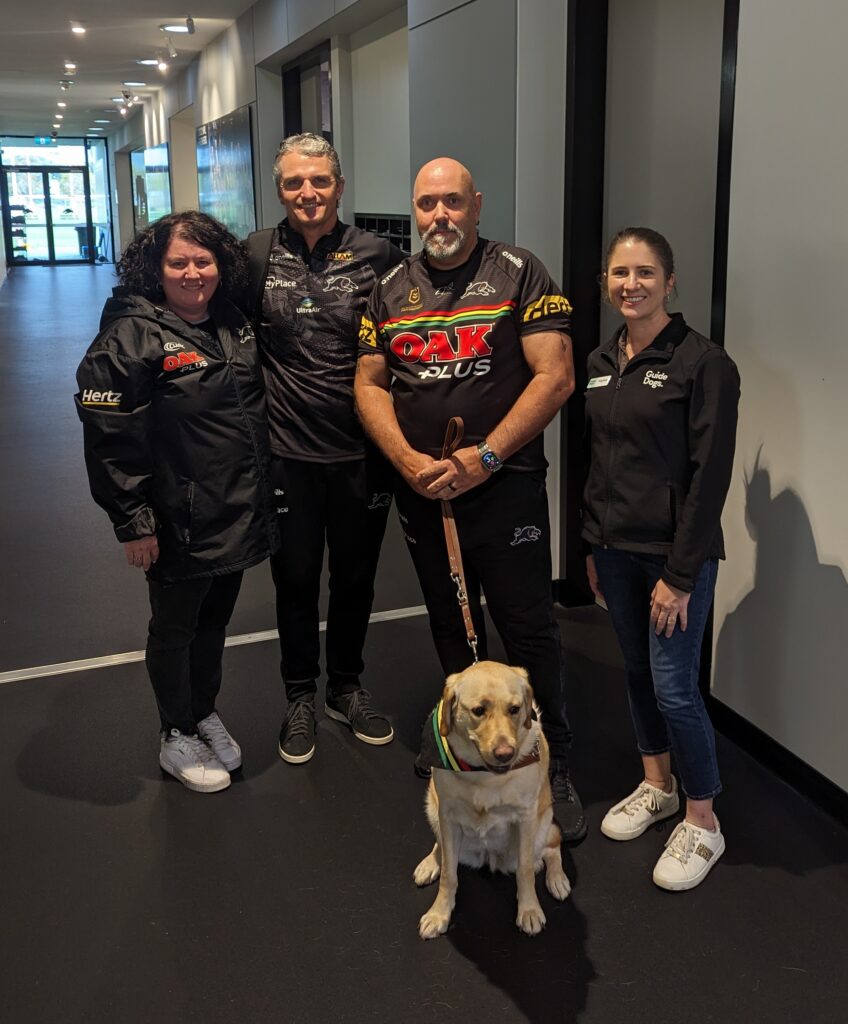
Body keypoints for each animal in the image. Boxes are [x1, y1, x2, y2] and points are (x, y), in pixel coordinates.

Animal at [415, 659, 573, 937]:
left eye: (514, 709)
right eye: (479, 710)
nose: (505, 753)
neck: (483, 775)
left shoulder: (525, 818)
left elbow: (525, 871)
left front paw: (529, 910)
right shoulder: (447, 816)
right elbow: (449, 874)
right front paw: (439, 913)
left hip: (543, 824)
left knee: (551, 847)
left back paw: (557, 878)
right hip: (433, 808)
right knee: (441, 847)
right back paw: (430, 863)